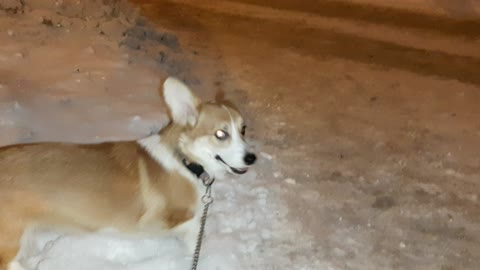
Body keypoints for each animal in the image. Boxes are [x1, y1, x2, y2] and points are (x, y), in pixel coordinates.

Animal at [0, 77, 256, 268]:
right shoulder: (161, 223)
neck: (184, 161)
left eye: (243, 129)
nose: (252, 158)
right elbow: (193, 230)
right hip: (12, 237)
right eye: (221, 134)